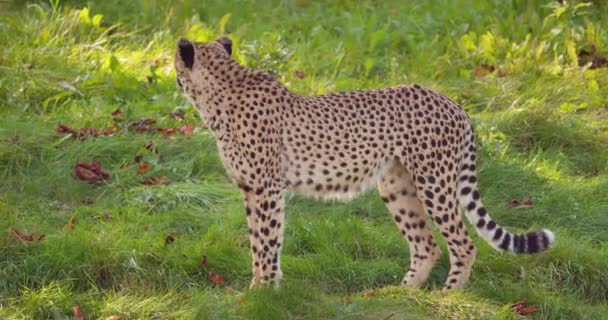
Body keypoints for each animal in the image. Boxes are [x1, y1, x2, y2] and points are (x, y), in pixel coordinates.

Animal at [175, 37, 556, 290]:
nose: (173, 73)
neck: (222, 91)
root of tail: (451, 101)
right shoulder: (250, 188)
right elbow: (257, 242)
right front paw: (258, 290)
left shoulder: (267, 188)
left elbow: (268, 241)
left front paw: (264, 292)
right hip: (396, 186)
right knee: (426, 244)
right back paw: (403, 295)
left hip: (434, 183)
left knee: (463, 244)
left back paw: (447, 297)